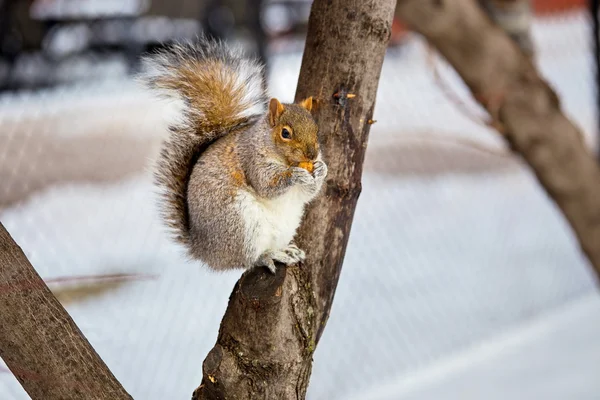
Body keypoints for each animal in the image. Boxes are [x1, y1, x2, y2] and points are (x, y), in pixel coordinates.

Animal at [139, 39, 328, 274]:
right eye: (285, 133)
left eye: (315, 127)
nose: (312, 154)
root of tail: (205, 251)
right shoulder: (252, 160)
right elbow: (267, 185)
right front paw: (295, 175)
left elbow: (308, 194)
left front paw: (321, 169)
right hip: (241, 225)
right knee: (248, 260)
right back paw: (268, 256)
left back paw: (286, 250)